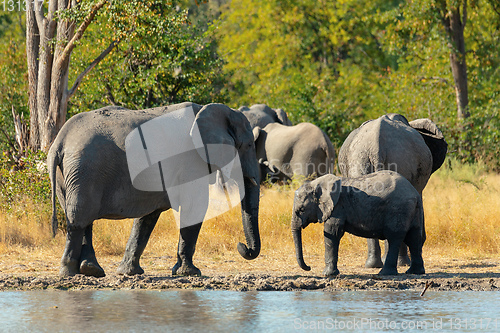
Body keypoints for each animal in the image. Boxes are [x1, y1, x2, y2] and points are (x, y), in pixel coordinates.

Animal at [47, 102, 262, 276]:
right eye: (248, 145)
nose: (242, 246)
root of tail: (61, 140)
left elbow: (147, 218)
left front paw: (129, 273)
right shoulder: (191, 159)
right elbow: (195, 207)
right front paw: (190, 273)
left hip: (69, 174)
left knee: (82, 219)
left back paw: (91, 271)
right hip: (85, 168)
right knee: (79, 218)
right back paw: (70, 273)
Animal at [292, 170, 426, 276]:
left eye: (301, 210)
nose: (309, 267)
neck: (316, 183)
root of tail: (415, 193)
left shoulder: (337, 207)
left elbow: (332, 233)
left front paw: (327, 274)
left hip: (398, 209)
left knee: (394, 237)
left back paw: (385, 273)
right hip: (412, 211)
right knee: (413, 238)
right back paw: (414, 272)